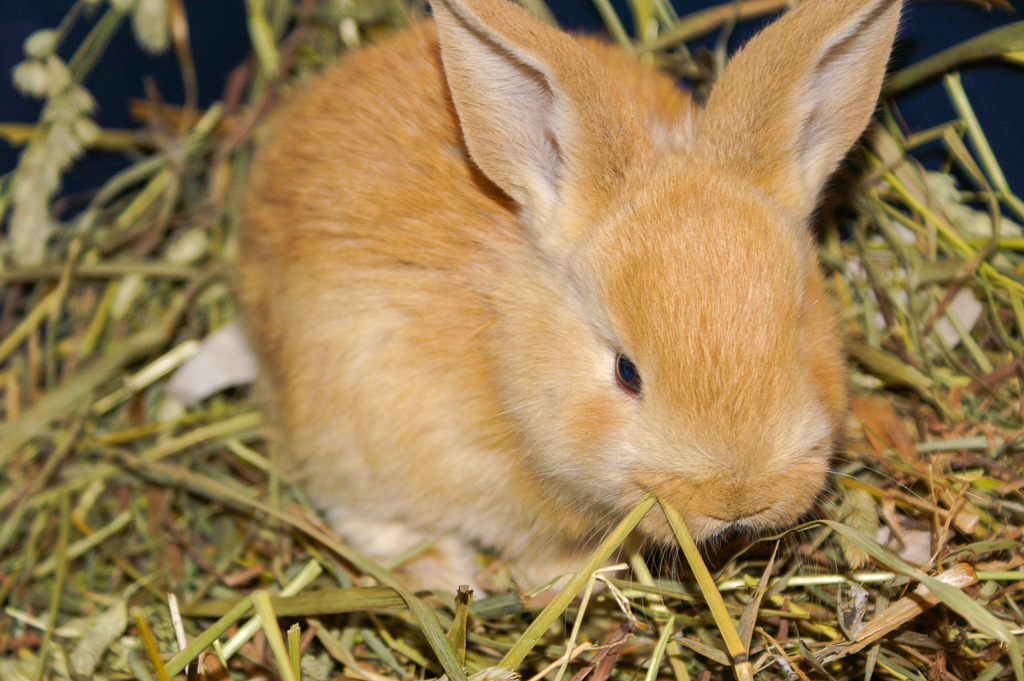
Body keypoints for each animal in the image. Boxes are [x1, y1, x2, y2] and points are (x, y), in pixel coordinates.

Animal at [235, 0, 901, 589]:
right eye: (626, 372)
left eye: (798, 333)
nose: (738, 499)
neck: (502, 361)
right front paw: (567, 581)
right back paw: (441, 571)